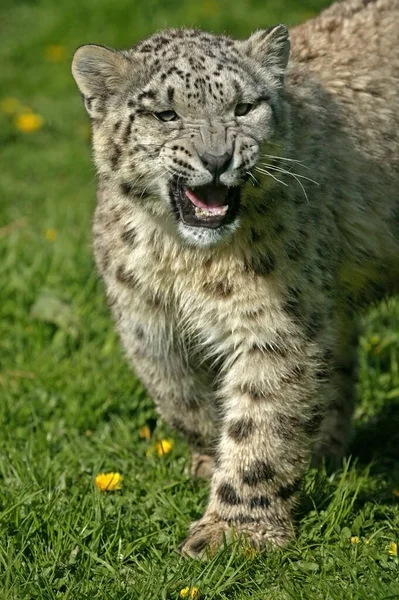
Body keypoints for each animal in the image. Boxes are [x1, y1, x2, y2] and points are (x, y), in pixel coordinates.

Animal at [72, 0, 399, 560]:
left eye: (244, 107)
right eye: (166, 114)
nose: (217, 159)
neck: (182, 261)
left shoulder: (274, 322)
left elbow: (261, 421)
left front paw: (234, 530)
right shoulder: (147, 323)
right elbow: (182, 398)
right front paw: (209, 460)